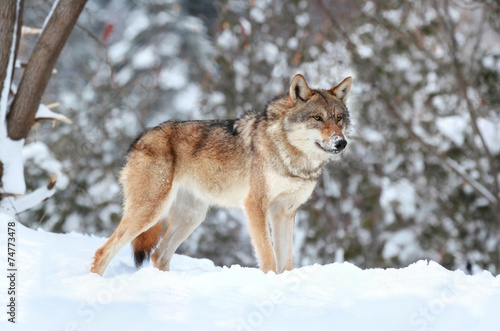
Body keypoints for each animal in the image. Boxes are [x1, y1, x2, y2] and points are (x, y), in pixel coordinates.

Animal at [92, 74, 354, 276]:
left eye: (338, 118)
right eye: (317, 118)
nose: (341, 143)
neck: (293, 159)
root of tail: (140, 138)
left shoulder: (285, 212)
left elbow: (286, 262)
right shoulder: (255, 206)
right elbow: (268, 256)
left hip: (192, 218)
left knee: (159, 256)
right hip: (150, 212)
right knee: (103, 251)